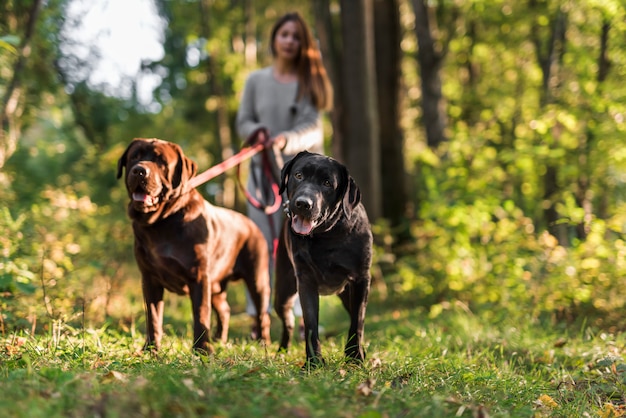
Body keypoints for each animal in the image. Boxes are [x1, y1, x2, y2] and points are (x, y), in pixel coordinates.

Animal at [117, 138, 270, 352]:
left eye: (161, 161)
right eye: (134, 157)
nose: (139, 170)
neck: (161, 223)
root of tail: (251, 224)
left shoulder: (199, 277)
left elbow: (201, 314)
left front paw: (202, 350)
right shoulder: (149, 278)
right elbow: (153, 317)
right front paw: (150, 349)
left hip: (257, 279)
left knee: (263, 314)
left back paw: (264, 343)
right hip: (216, 284)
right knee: (224, 309)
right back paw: (220, 340)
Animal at [272, 152, 370, 368]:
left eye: (327, 183)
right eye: (298, 175)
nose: (303, 203)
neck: (326, 236)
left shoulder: (361, 279)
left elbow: (357, 323)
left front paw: (355, 358)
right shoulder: (306, 281)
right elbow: (310, 325)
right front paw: (313, 363)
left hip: (347, 294)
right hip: (282, 294)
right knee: (288, 323)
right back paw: (281, 351)